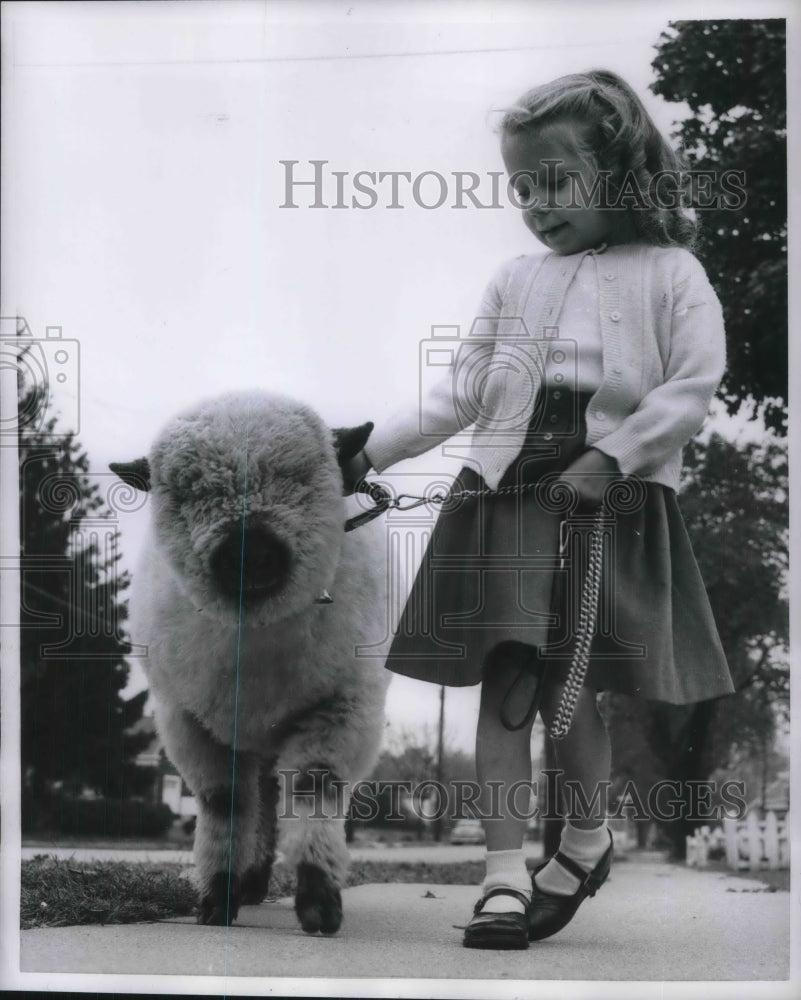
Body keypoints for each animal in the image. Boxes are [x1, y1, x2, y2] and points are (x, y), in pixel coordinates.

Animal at [110, 390, 390, 928]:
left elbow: (315, 790)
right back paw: (250, 882)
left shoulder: (341, 710)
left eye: (299, 477)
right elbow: (225, 803)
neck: (256, 634)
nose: (250, 551)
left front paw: (319, 901)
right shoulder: (187, 721)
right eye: (187, 492)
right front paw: (216, 898)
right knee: (258, 794)